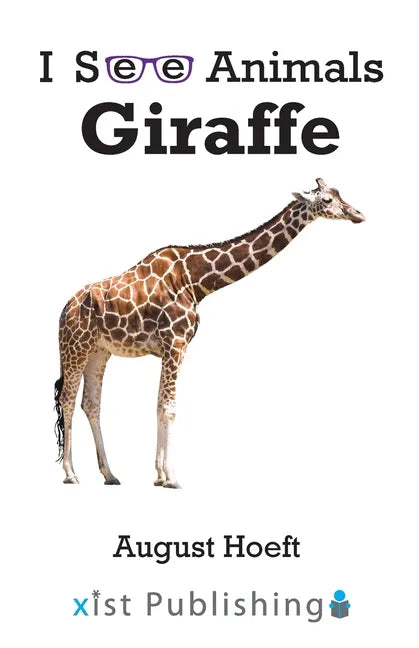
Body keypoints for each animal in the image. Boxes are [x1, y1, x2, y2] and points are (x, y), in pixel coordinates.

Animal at [54, 178, 365, 487]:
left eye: (339, 194)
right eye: (326, 200)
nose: (358, 214)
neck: (196, 280)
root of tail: (65, 309)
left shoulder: (172, 347)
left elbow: (160, 405)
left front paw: (159, 476)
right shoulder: (175, 342)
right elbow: (168, 407)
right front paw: (170, 477)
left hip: (99, 352)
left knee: (91, 404)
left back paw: (109, 474)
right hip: (75, 346)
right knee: (66, 400)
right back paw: (71, 473)